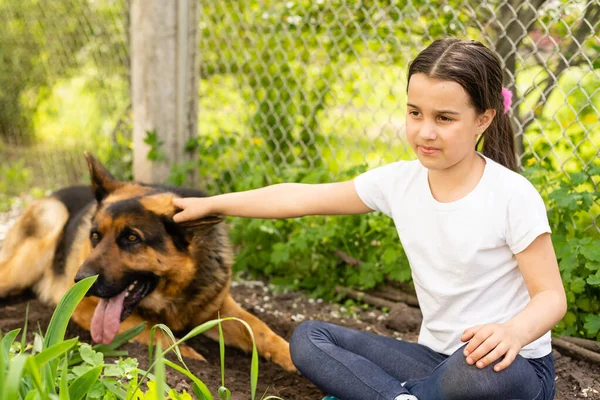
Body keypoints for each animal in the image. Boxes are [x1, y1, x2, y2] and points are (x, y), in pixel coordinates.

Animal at [0, 153, 292, 372]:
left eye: (132, 238)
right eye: (94, 236)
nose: (79, 280)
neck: (174, 292)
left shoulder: (221, 308)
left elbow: (261, 330)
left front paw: (290, 355)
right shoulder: (85, 308)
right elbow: (156, 331)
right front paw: (188, 358)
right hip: (40, 241)